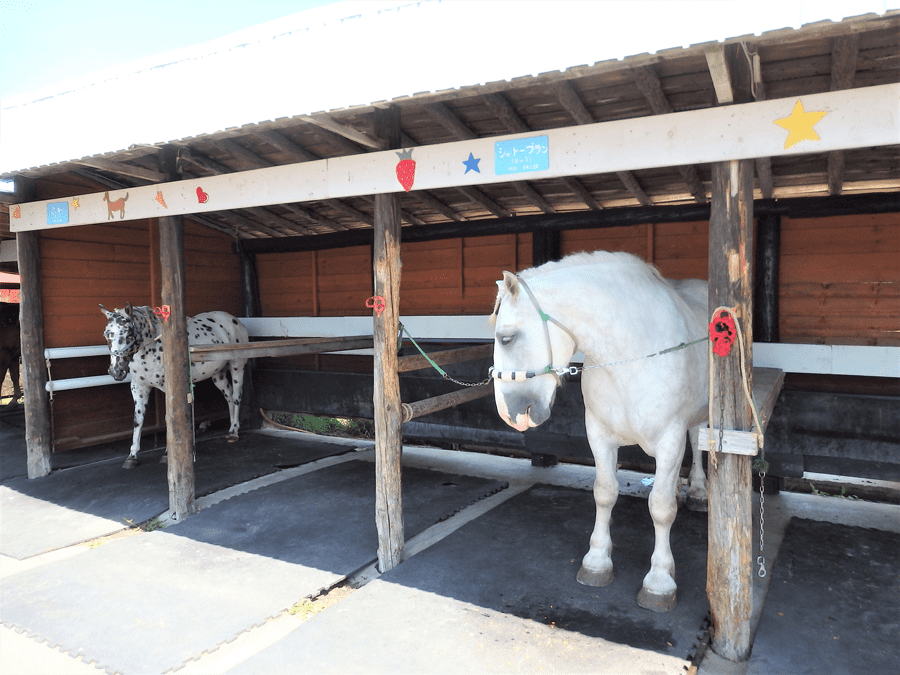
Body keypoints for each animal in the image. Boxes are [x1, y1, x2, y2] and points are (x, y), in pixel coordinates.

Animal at [98, 302, 250, 468]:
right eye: (106, 334)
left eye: (129, 334)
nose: (116, 371)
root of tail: (235, 320)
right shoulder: (139, 387)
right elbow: (137, 420)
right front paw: (132, 456)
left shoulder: (169, 388)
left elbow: (170, 419)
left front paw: (167, 454)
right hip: (218, 375)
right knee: (229, 397)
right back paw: (231, 428)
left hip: (237, 367)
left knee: (236, 397)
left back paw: (234, 432)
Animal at [492, 251, 712, 616]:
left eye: (506, 338)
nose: (510, 415)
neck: (632, 355)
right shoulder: (599, 435)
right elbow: (605, 493)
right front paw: (597, 561)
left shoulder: (670, 440)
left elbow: (661, 507)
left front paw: (659, 580)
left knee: (698, 440)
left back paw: (698, 490)